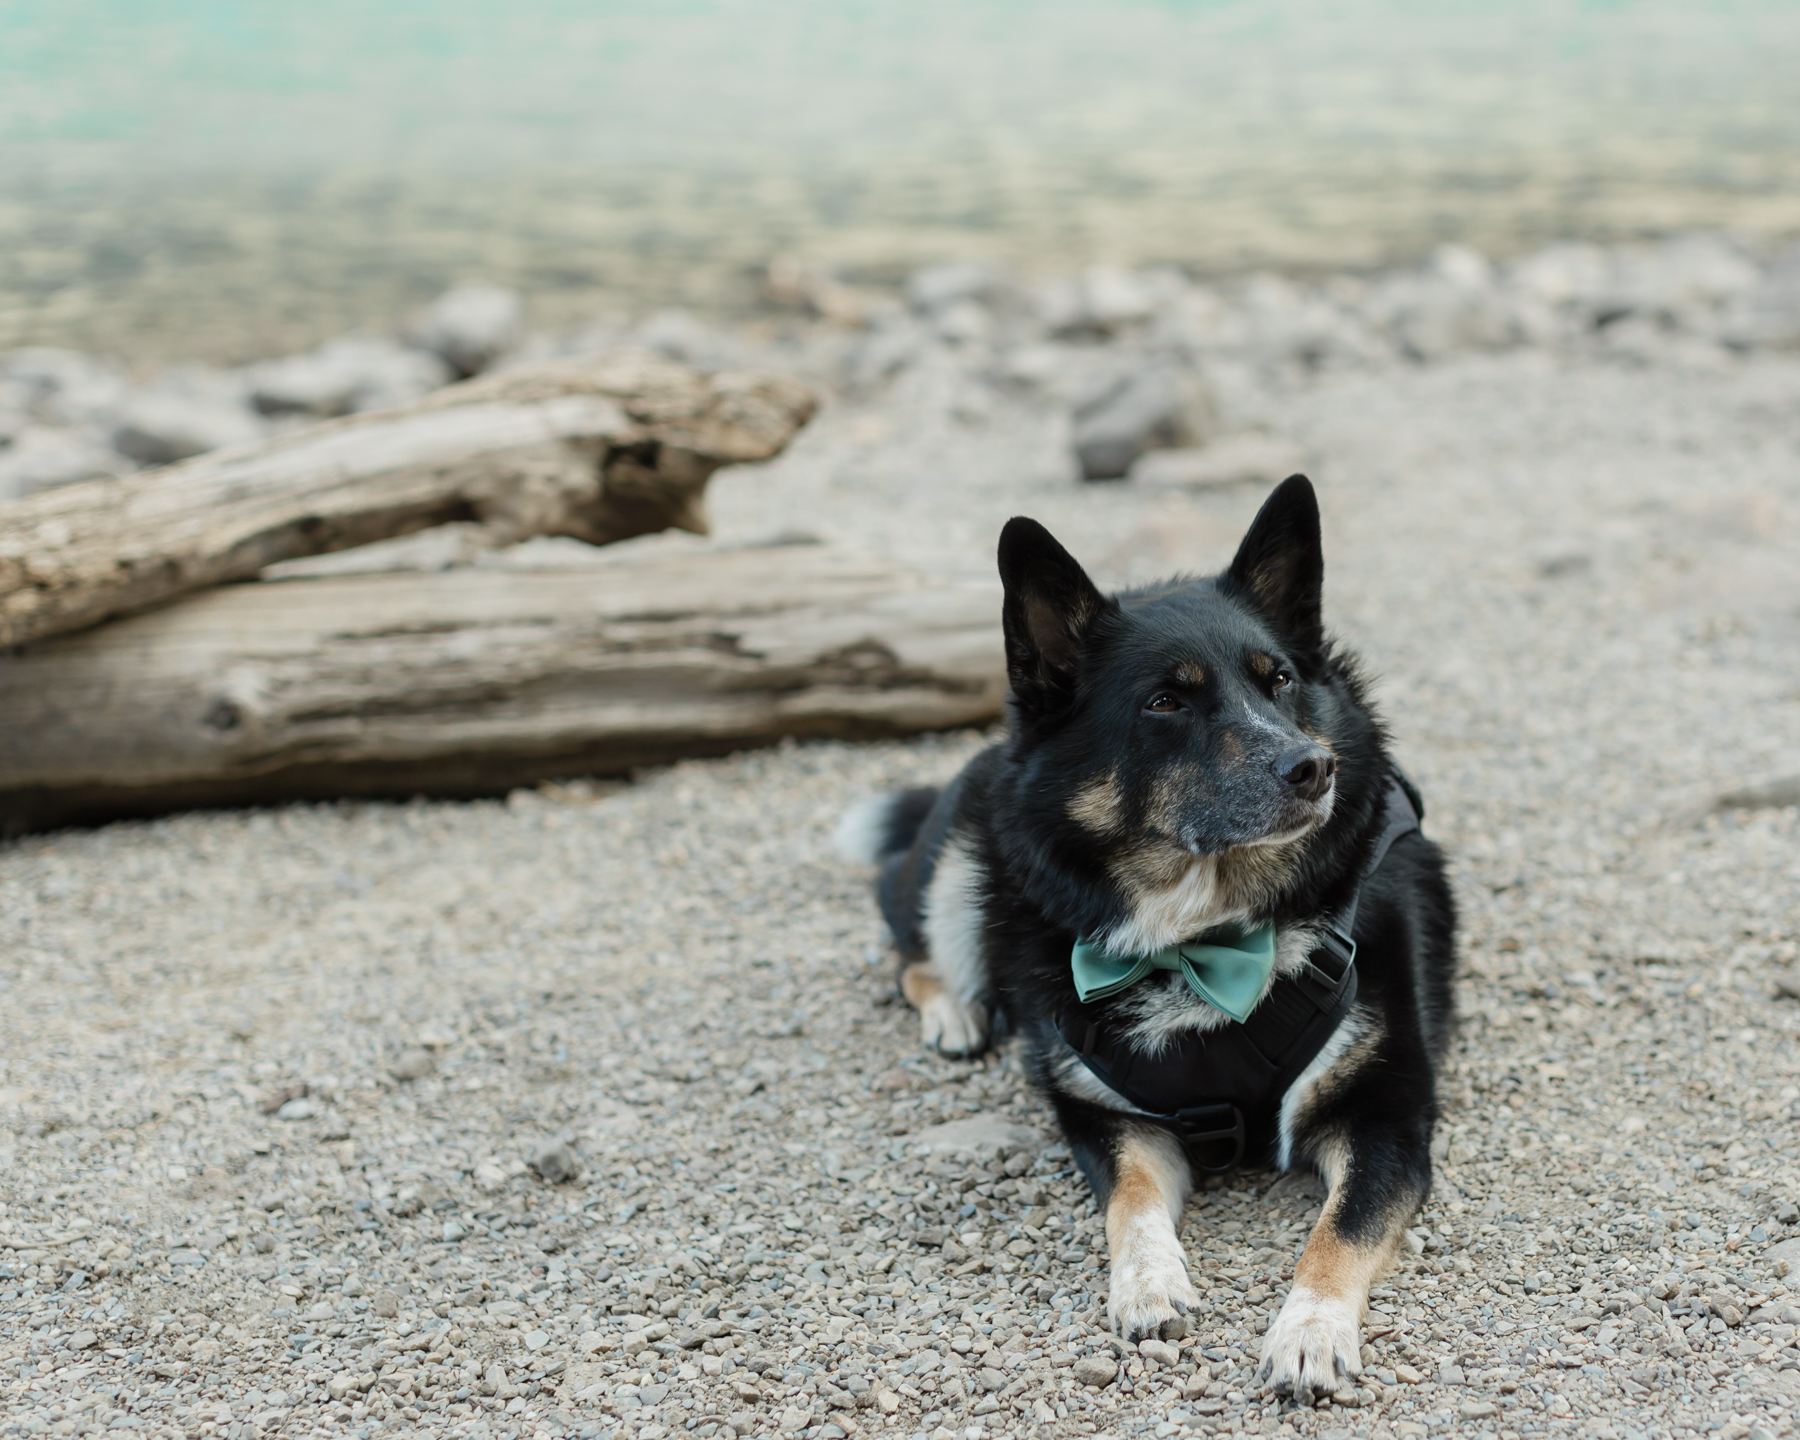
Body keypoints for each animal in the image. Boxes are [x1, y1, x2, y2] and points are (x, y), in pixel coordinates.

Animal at [835, 478, 1454, 1404]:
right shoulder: (1105, 1115)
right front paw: (1147, 1283)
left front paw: (1309, 1331)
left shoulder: (1387, 1117)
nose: (1314, 768)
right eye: (1166, 701)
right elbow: (1130, 1201)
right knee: (908, 934)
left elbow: (1338, 1231)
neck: (1203, 944)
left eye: (1279, 682)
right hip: (967, 851)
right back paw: (956, 1012)